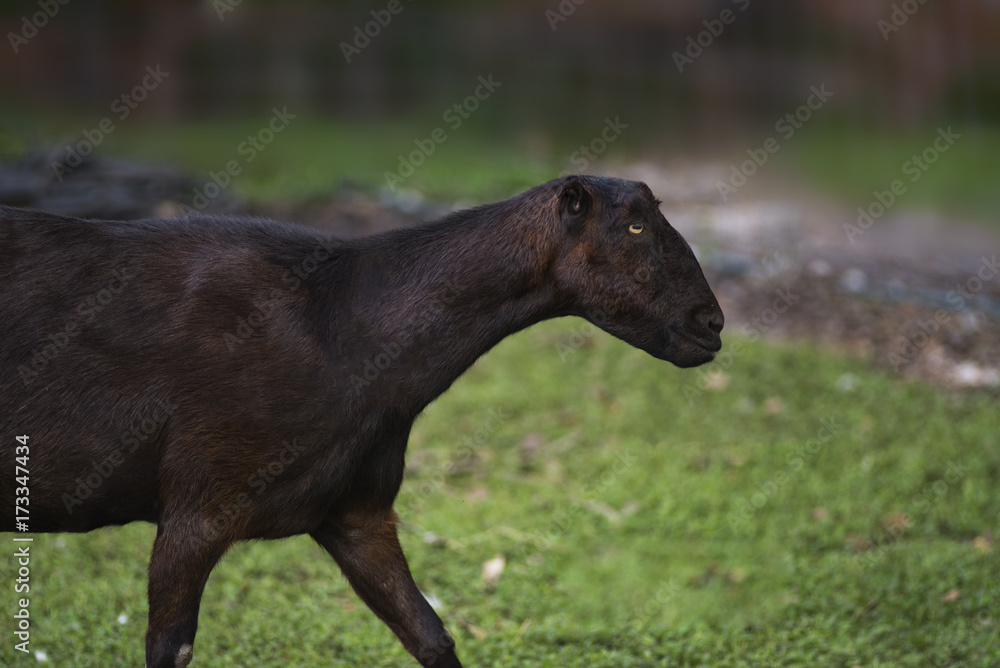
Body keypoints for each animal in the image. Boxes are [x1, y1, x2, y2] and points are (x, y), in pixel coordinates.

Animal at [0, 175, 724, 667]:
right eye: (634, 228)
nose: (711, 322)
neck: (345, 325)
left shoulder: (356, 511)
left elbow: (430, 634)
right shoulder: (197, 506)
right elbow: (169, 649)